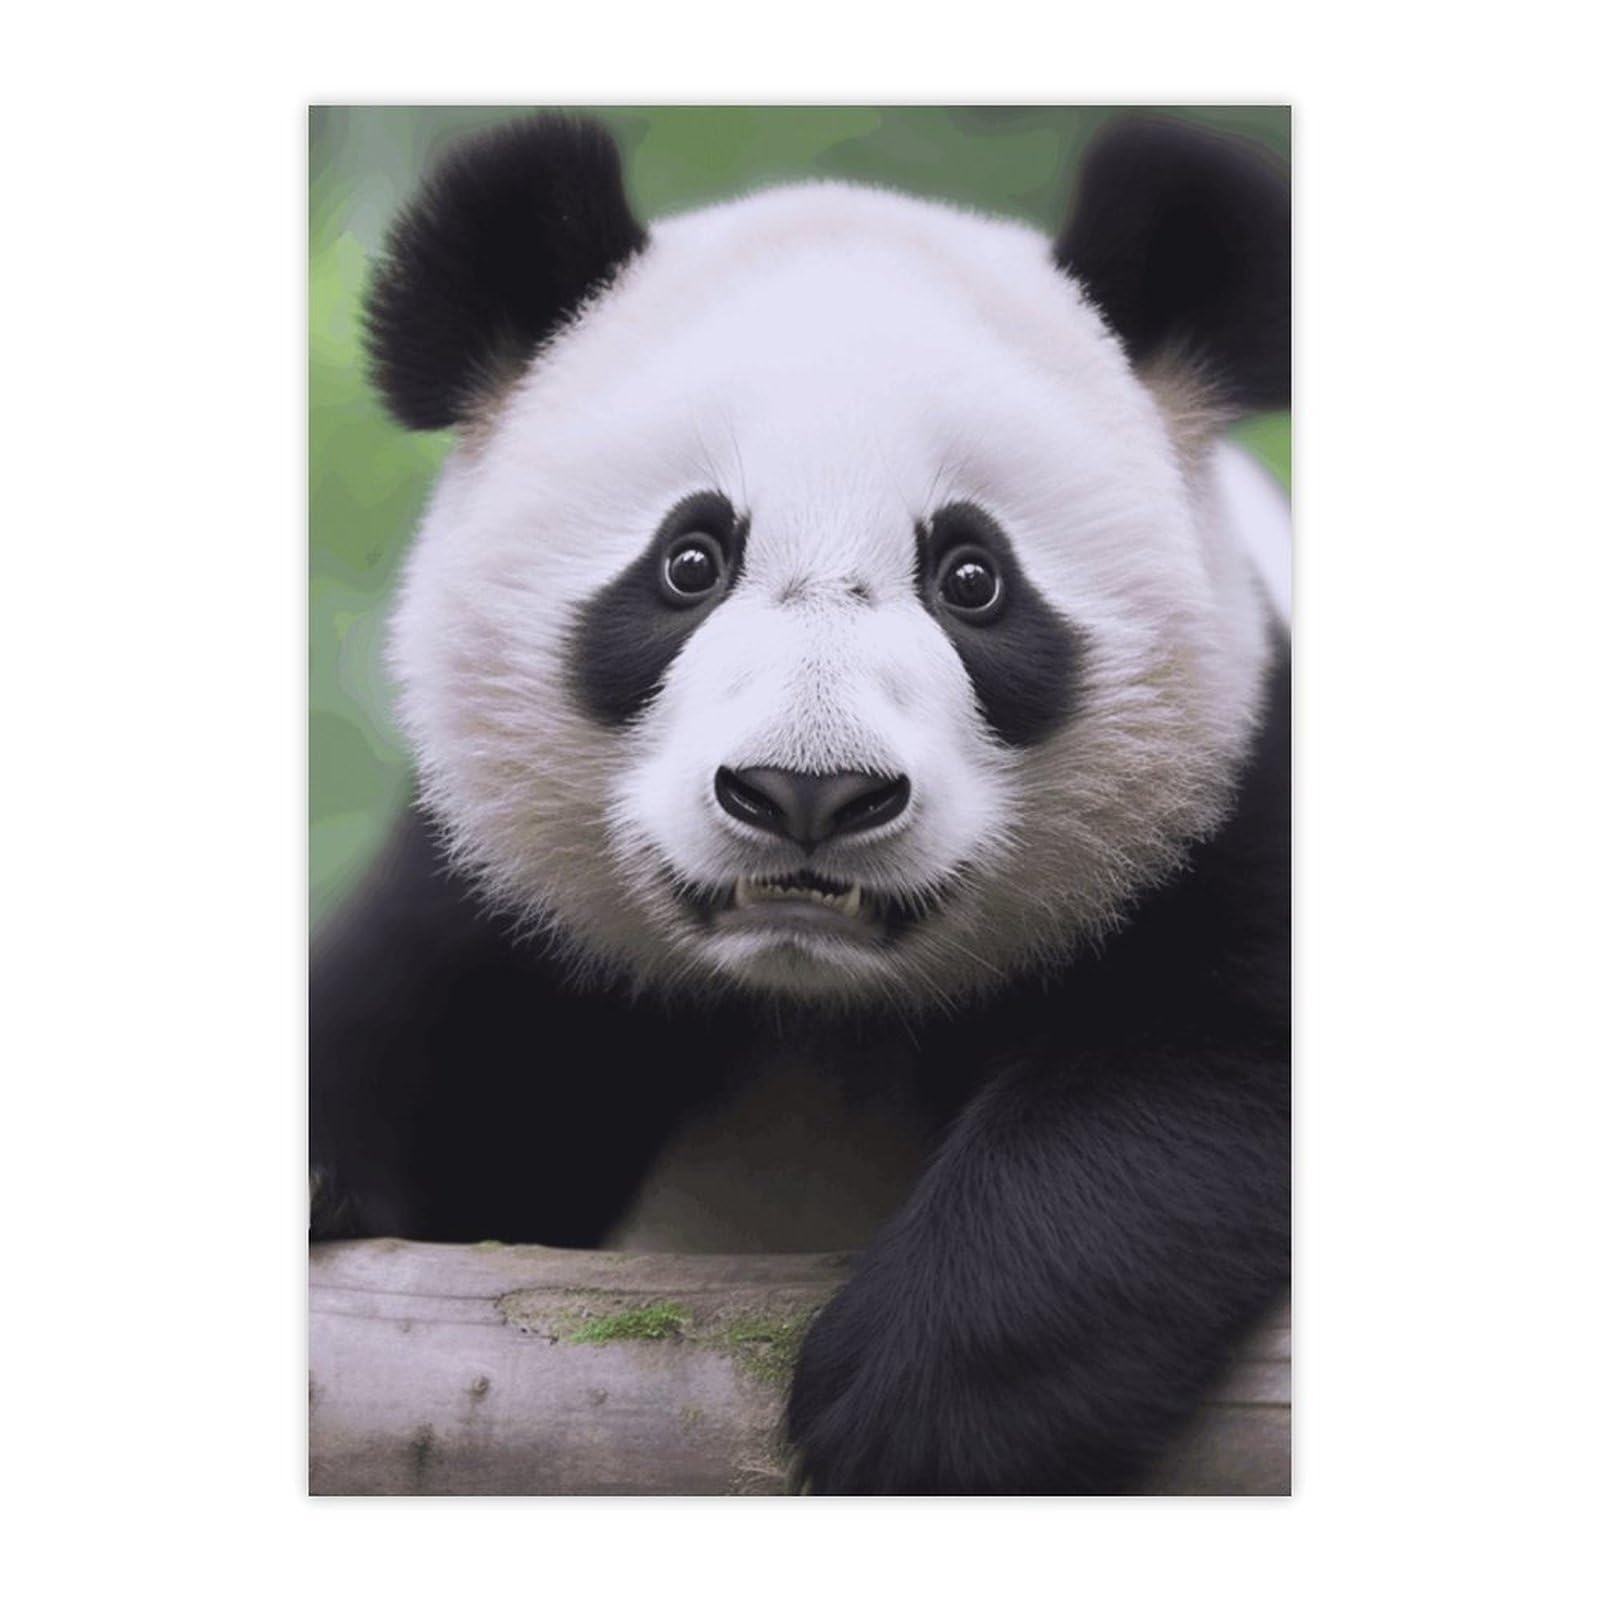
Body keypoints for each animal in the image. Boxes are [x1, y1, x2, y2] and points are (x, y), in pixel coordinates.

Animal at [311, 113, 1291, 1496]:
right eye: (688, 562)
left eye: (973, 577)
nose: (807, 792)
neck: (815, 1000)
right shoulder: (492, 900)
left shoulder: (1233, 802)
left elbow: (1200, 1068)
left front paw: (928, 1394)